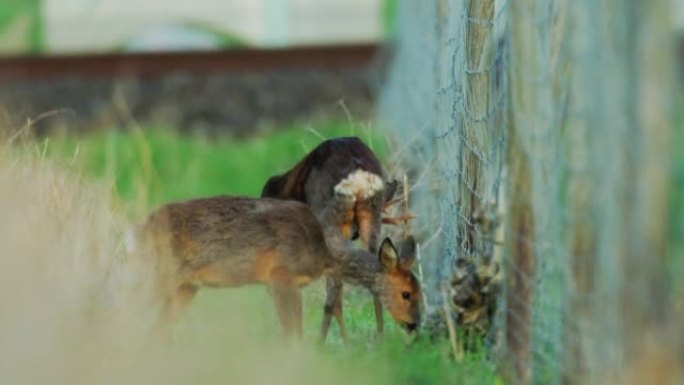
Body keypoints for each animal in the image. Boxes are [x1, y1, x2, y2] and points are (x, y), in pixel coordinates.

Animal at [125, 196, 420, 338]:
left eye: (421, 292)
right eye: (406, 293)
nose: (414, 325)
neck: (322, 251)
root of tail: (138, 231)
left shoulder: (293, 285)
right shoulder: (279, 275)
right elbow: (290, 335)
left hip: (186, 286)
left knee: (155, 330)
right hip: (157, 274)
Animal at [260, 137, 416, 342]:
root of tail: (358, 176)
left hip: (330, 218)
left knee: (334, 290)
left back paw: (322, 343)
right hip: (371, 214)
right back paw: (379, 338)